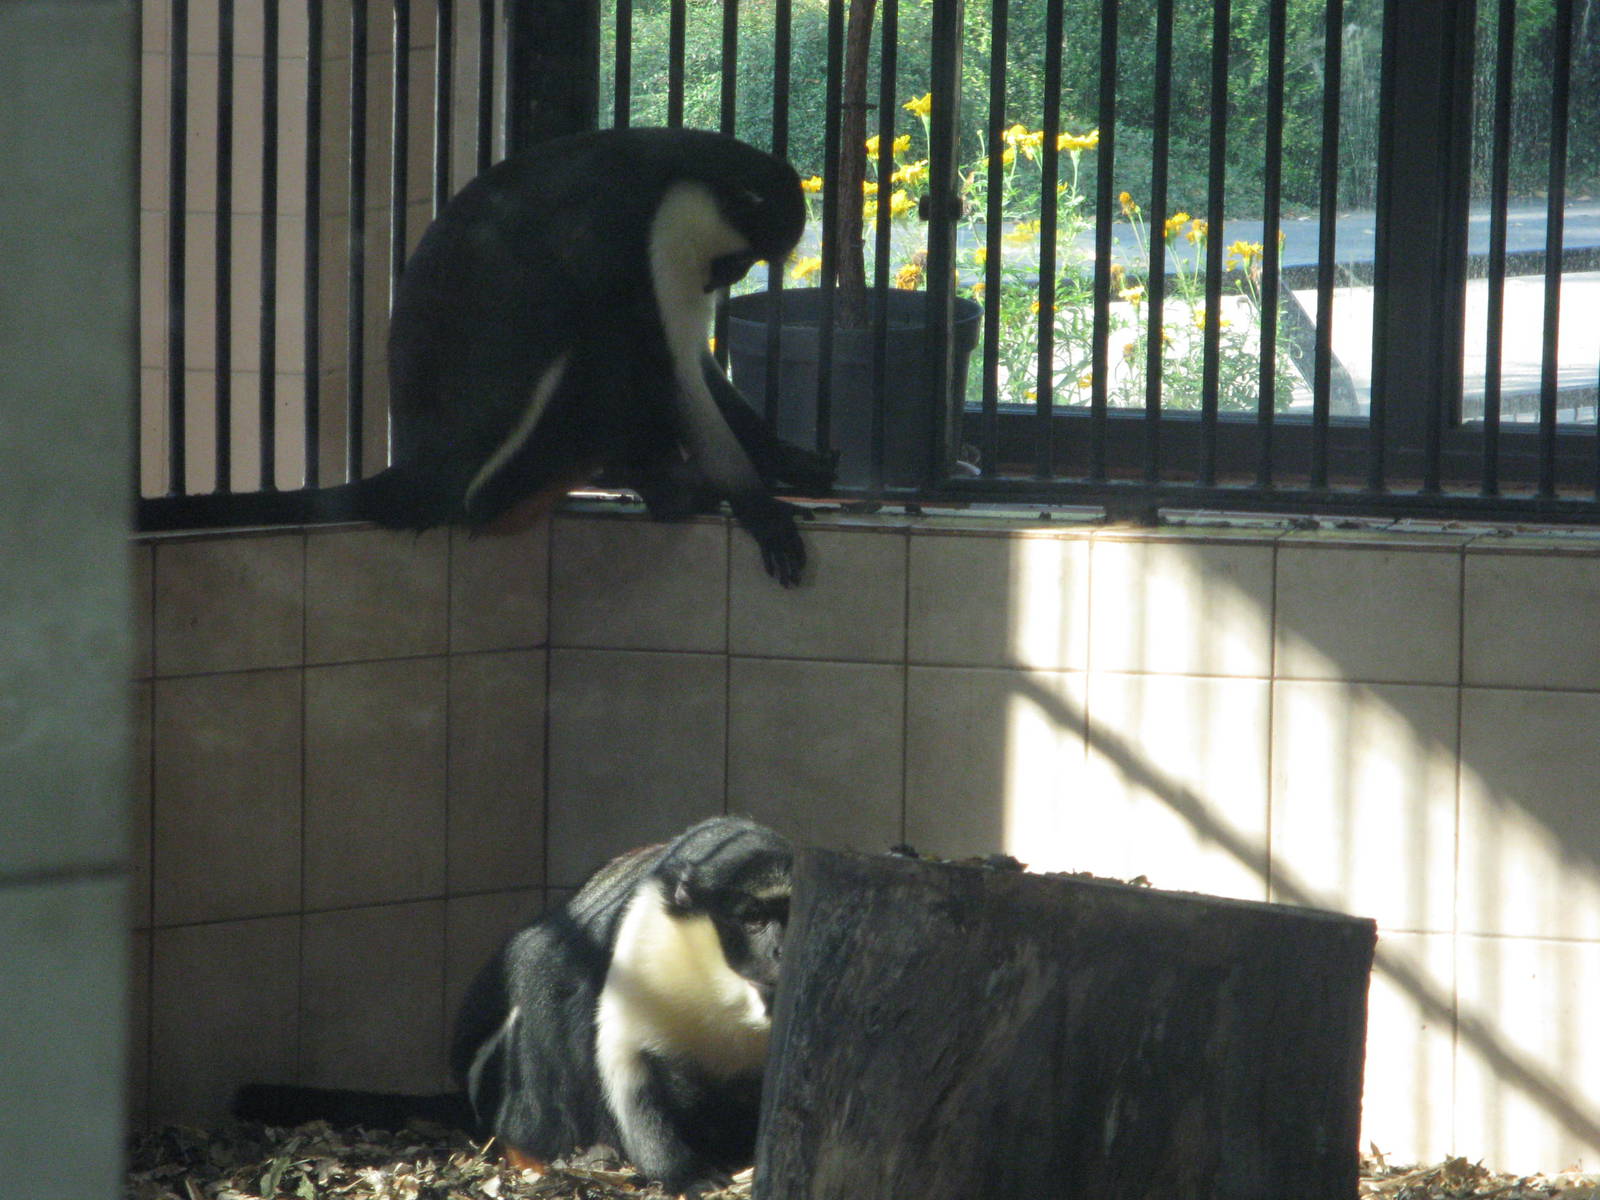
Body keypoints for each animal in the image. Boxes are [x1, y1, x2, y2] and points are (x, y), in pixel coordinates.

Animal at [235, 816, 793, 1196]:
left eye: (793, 914)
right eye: (754, 917)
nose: (783, 952)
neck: (721, 982)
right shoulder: (644, 943)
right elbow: (629, 1071)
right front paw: (684, 1174)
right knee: (546, 977)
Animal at [316, 127, 835, 586]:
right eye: (740, 260)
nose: (723, 281)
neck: (675, 171)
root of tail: (419, 474)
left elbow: (697, 365)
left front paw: (786, 459)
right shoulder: (649, 235)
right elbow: (671, 373)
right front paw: (758, 507)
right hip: (524, 455)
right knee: (605, 336)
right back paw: (672, 491)